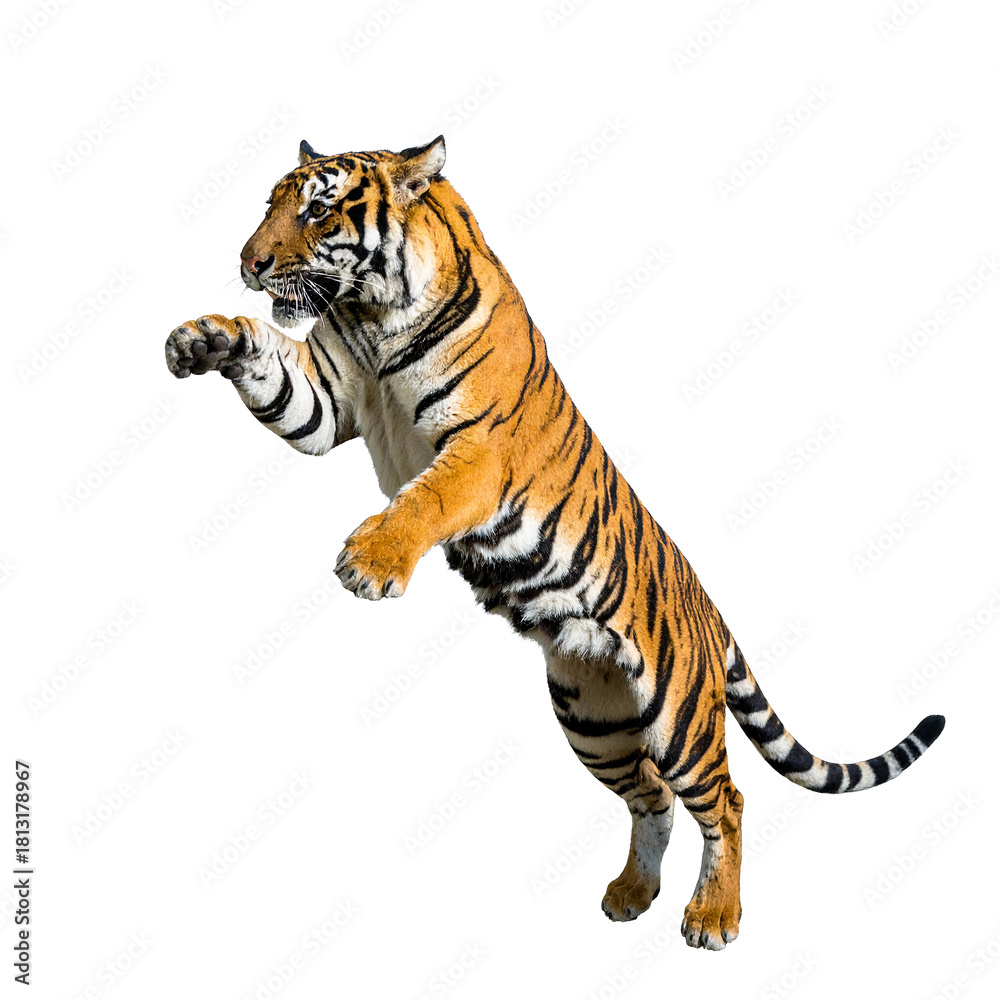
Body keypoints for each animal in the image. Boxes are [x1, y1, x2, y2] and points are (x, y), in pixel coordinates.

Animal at [164, 135, 946, 950]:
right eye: (271, 205)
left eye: (318, 210)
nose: (249, 263)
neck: (373, 309)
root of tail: (708, 607)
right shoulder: (325, 395)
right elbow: (264, 356)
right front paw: (202, 336)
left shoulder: (479, 450)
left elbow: (426, 498)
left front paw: (370, 563)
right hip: (592, 717)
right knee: (652, 798)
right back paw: (632, 894)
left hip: (680, 715)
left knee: (724, 800)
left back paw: (714, 917)